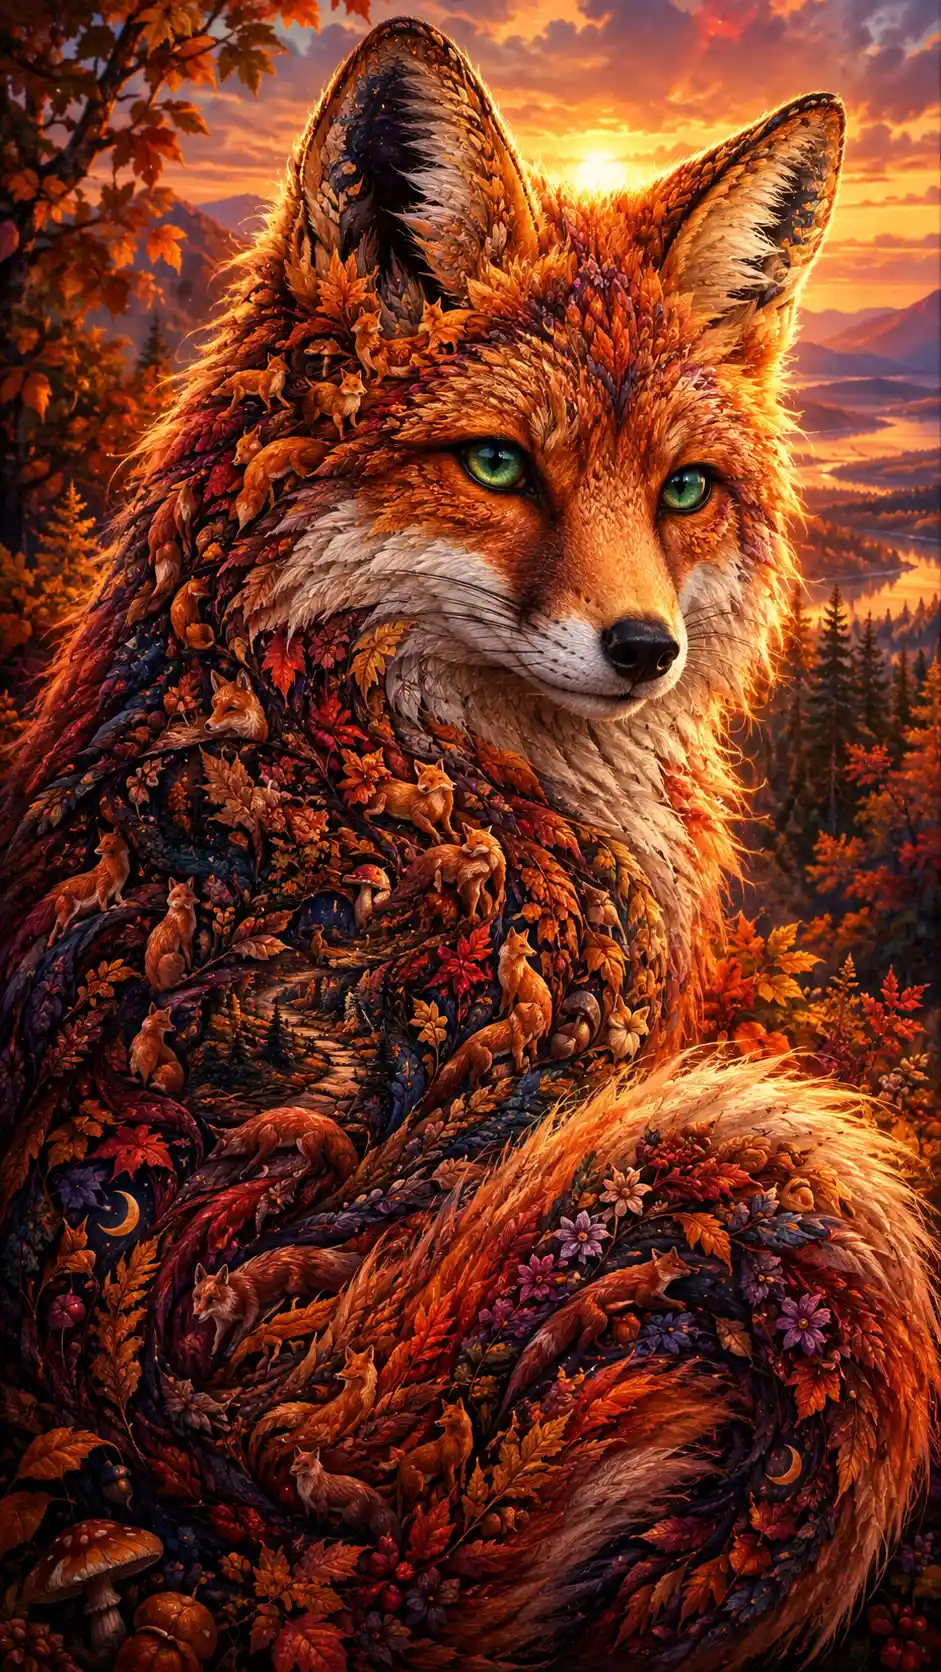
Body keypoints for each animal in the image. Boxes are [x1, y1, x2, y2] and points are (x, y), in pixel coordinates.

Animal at [192, 1247, 362, 1352]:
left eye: (212, 1299)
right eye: (198, 1297)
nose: (195, 1316)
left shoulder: (251, 1305)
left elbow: (242, 1330)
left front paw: (231, 1348)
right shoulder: (223, 1321)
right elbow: (218, 1337)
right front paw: (214, 1351)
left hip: (295, 1287)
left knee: (310, 1294)